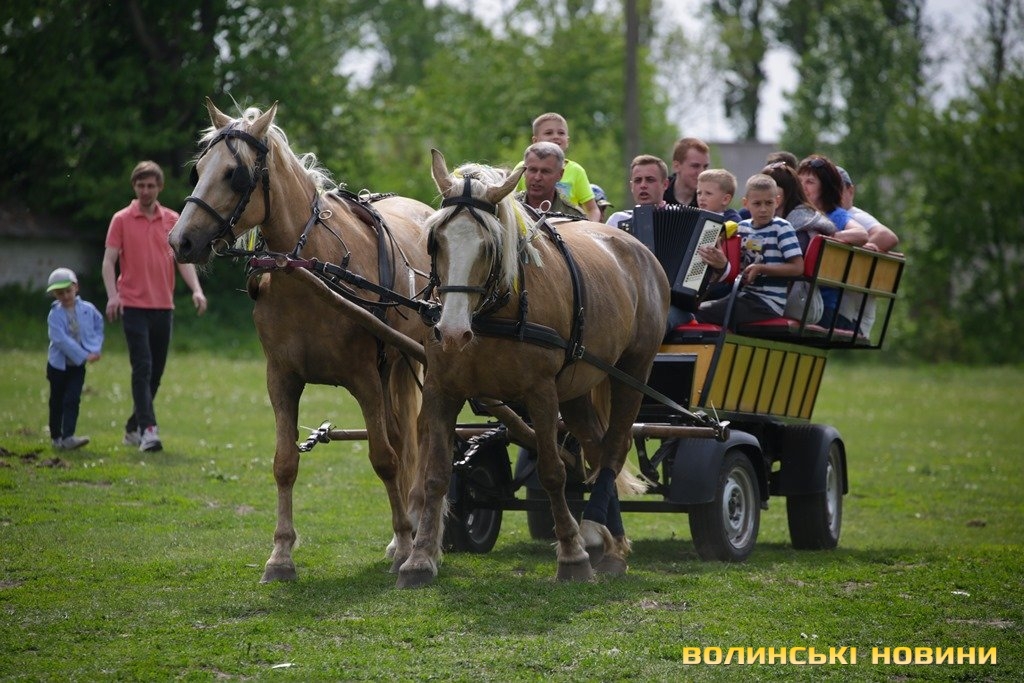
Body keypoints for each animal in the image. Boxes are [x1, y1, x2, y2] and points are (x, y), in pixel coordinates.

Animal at [169, 99, 435, 582]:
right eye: (198, 170)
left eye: (234, 174)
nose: (181, 241)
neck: (311, 271)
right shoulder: (281, 378)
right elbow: (284, 463)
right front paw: (280, 555)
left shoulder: (365, 377)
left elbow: (384, 458)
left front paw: (408, 545)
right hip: (395, 366)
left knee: (414, 442)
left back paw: (413, 533)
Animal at [396, 150, 670, 588]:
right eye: (435, 240)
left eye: (489, 245)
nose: (451, 332)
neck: (492, 315)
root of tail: (635, 246)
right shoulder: (441, 390)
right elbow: (435, 474)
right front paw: (419, 560)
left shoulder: (541, 393)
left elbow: (553, 471)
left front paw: (572, 556)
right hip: (577, 388)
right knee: (596, 449)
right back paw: (610, 540)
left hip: (633, 370)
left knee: (615, 447)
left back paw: (596, 536)